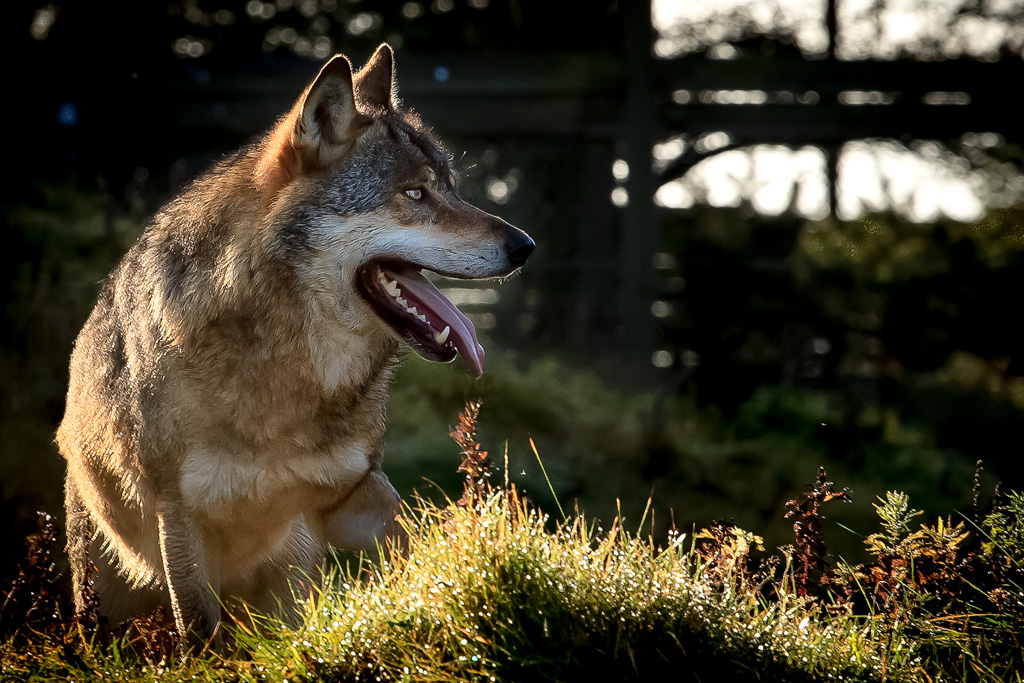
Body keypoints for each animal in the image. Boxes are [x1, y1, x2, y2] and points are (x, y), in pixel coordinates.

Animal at [56, 44, 536, 647]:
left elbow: (424, 540)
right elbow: (199, 637)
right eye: (414, 193)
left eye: (450, 187)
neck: (290, 382)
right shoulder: (180, 520)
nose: (525, 246)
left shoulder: (350, 492)